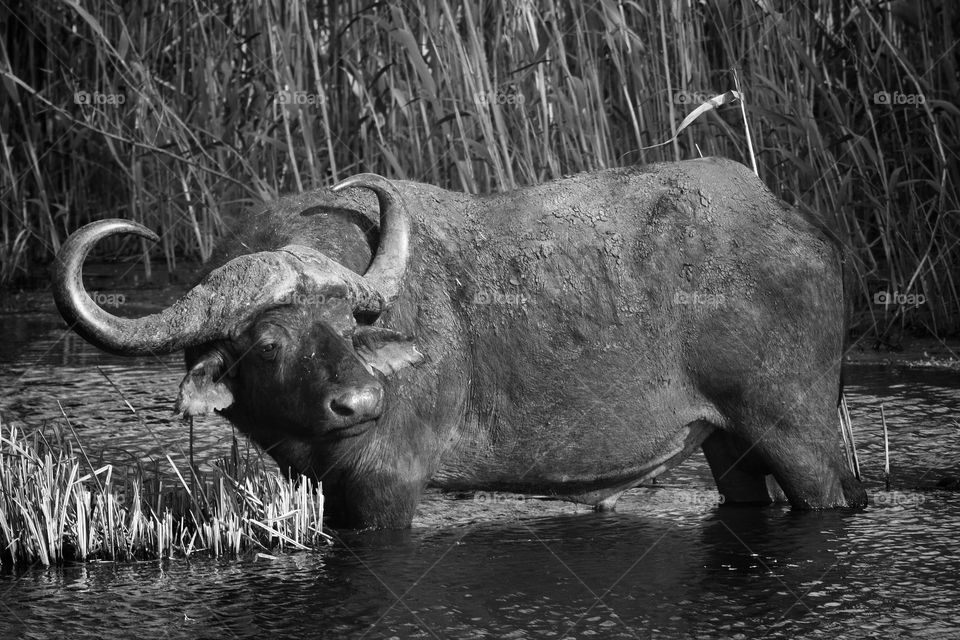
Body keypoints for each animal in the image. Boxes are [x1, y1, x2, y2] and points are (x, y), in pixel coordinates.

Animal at [54, 158, 872, 528]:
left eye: (345, 324)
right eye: (267, 341)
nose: (361, 401)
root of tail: (805, 226)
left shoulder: (386, 484)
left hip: (797, 432)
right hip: (729, 445)